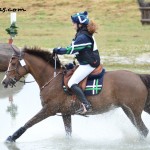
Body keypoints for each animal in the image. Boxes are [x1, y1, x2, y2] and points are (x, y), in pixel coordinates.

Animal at [1, 45, 150, 142]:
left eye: (12, 62)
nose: (4, 81)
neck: (52, 79)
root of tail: (137, 76)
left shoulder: (48, 110)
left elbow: (28, 123)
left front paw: (11, 138)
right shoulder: (65, 113)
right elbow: (68, 133)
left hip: (134, 111)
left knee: (143, 130)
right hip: (129, 110)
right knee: (142, 130)